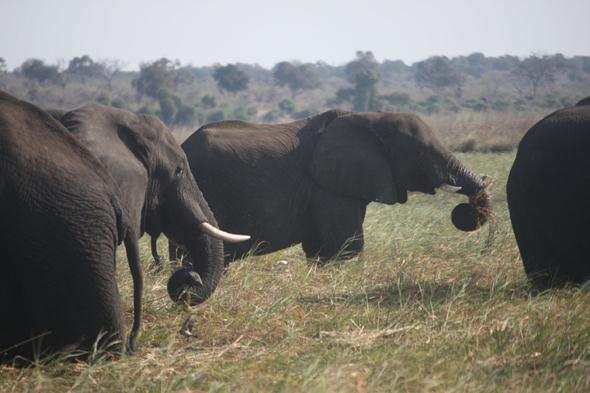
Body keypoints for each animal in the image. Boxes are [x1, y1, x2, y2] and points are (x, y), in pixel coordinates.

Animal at [172, 108, 494, 264]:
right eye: (421, 153)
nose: (465, 210)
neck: (371, 118)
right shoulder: (325, 188)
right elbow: (347, 245)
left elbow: (321, 250)